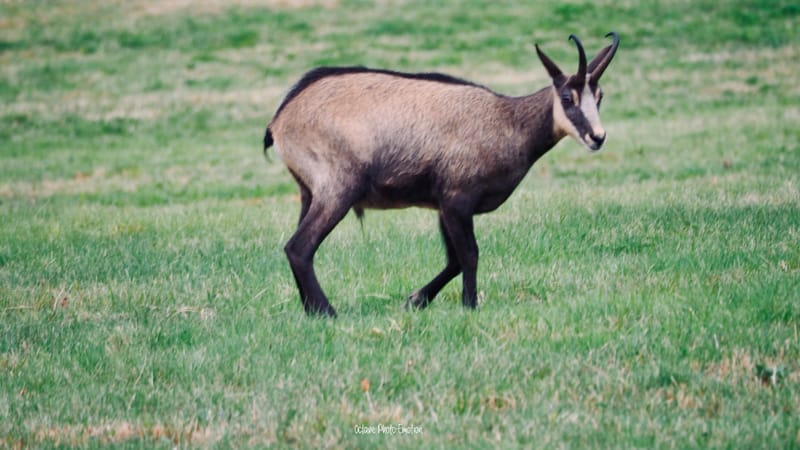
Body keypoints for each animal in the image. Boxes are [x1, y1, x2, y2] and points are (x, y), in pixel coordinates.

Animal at [264, 32, 619, 317]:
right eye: (567, 97)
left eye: (600, 97)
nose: (598, 137)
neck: (508, 123)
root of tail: (281, 118)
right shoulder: (458, 199)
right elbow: (469, 255)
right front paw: (469, 305)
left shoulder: (444, 206)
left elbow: (454, 260)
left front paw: (416, 300)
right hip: (337, 188)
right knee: (300, 247)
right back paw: (327, 312)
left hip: (309, 193)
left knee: (297, 249)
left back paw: (310, 310)